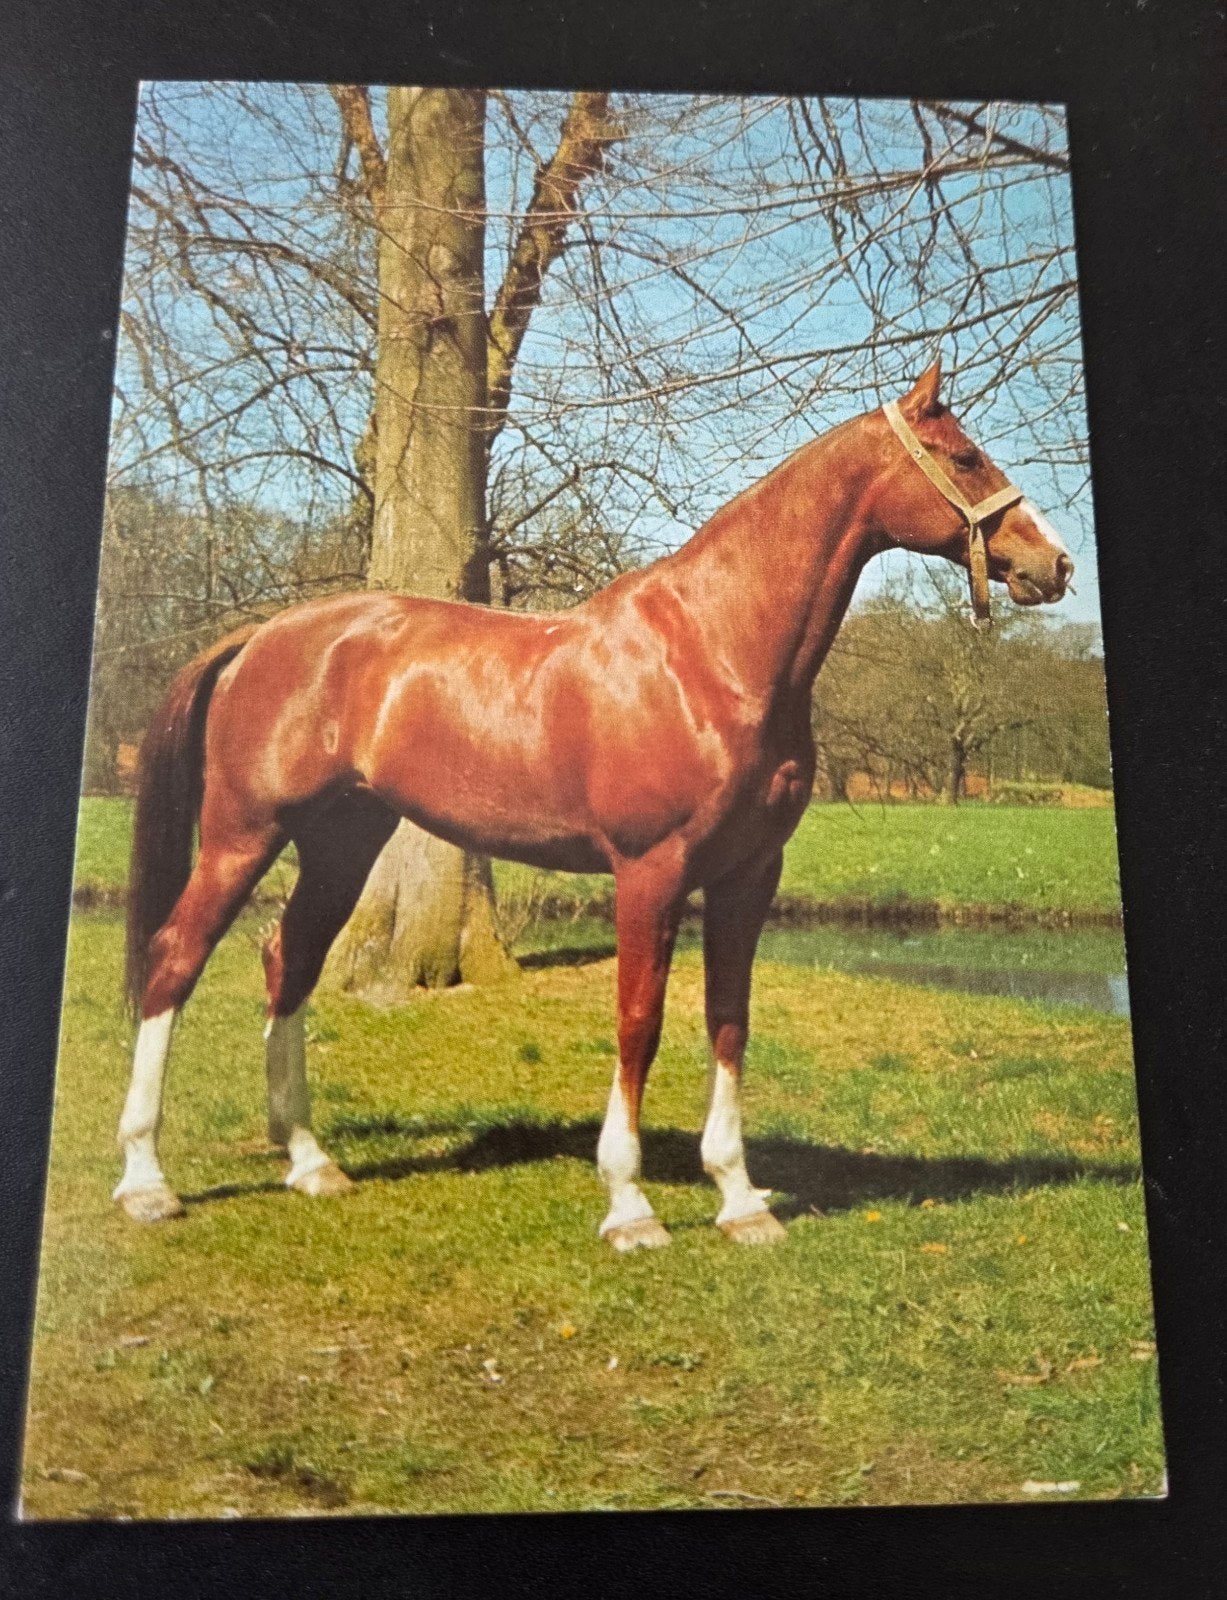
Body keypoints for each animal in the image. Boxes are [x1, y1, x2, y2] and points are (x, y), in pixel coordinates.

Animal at [114, 359, 1073, 1249]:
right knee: (175, 960)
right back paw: (146, 1182)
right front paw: (630, 1206)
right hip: (242, 836)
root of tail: (261, 636)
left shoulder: (748, 876)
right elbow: (638, 1023)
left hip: (340, 843)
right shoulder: (650, 872)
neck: (713, 652)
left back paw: (310, 1162)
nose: (1052, 564)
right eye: (964, 455)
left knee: (291, 962)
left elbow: (729, 1020)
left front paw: (740, 1201)